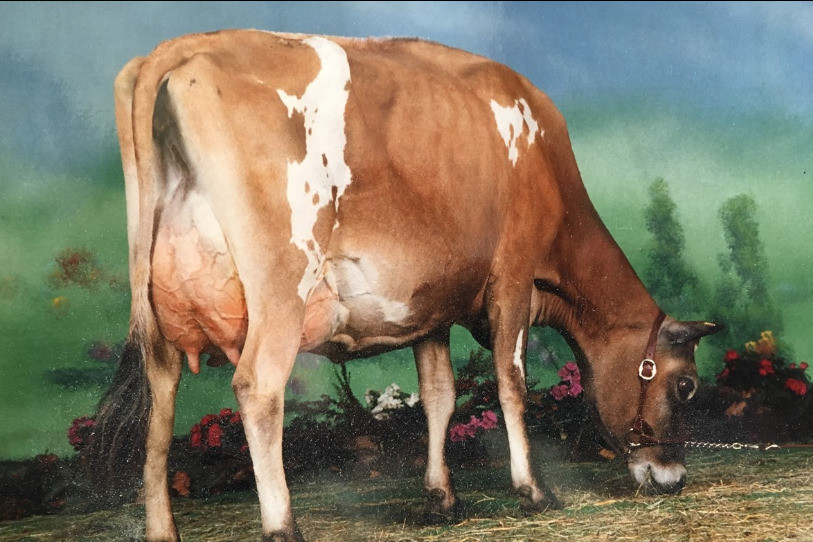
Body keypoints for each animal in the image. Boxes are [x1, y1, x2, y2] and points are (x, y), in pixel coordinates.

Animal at [89, 29, 721, 541]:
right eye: (685, 386)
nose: (673, 476)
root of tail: (183, 48)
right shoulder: (513, 276)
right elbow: (511, 382)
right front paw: (534, 490)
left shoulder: (428, 307)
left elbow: (439, 396)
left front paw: (441, 497)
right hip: (282, 287)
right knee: (257, 389)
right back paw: (282, 525)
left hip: (158, 317)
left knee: (159, 405)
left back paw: (162, 529)